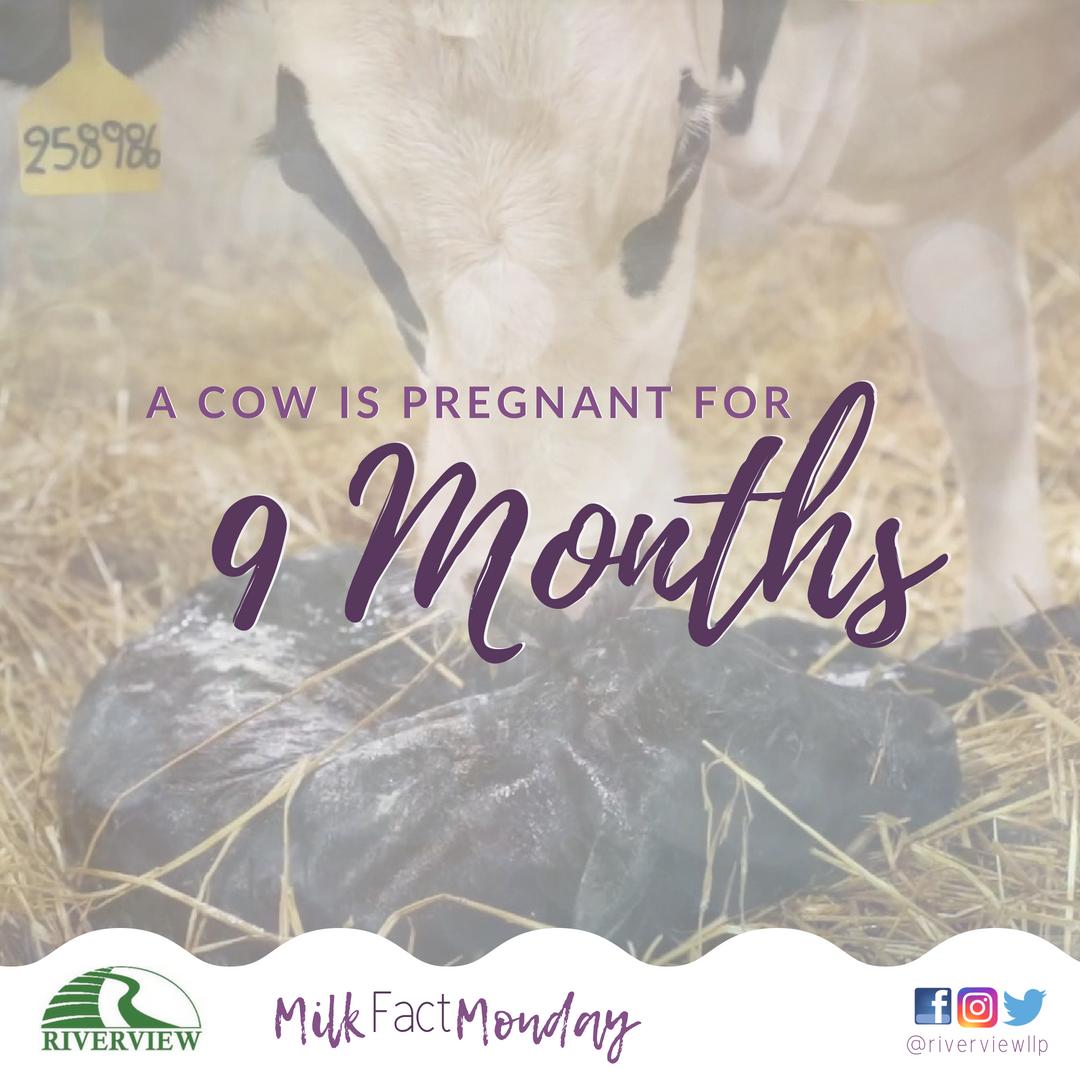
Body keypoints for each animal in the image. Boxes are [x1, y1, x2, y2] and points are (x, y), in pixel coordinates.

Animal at [2, 0, 1077, 631]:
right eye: (316, 186)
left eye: (684, 154)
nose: (537, 587)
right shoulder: (935, 173)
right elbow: (983, 387)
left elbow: (983, 396)